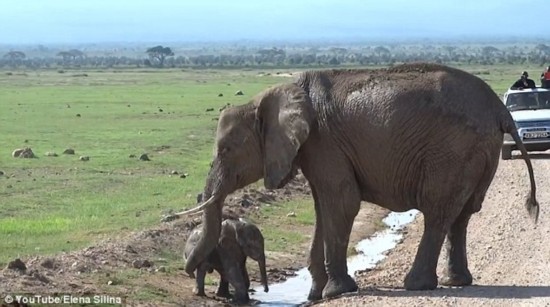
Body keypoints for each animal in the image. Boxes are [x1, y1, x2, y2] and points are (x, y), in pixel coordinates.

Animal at [180, 63, 540, 302]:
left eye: (226, 150)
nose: (187, 270)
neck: (276, 94)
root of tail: (499, 108)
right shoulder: (315, 149)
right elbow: (322, 208)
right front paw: (314, 296)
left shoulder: (323, 142)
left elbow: (341, 203)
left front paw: (334, 292)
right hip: (479, 152)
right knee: (461, 215)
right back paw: (456, 282)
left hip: (453, 150)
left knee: (438, 213)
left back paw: (416, 285)